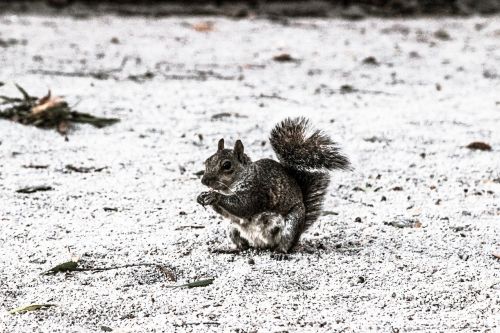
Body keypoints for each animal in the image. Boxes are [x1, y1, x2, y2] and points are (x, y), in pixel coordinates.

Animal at [196, 116, 352, 252]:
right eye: (207, 160)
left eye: (227, 165)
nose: (204, 181)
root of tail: (261, 244)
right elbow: (228, 213)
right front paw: (202, 196)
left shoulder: (256, 189)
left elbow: (243, 206)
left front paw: (215, 196)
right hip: (232, 229)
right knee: (243, 246)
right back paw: (230, 249)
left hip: (292, 223)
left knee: (286, 241)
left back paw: (280, 251)